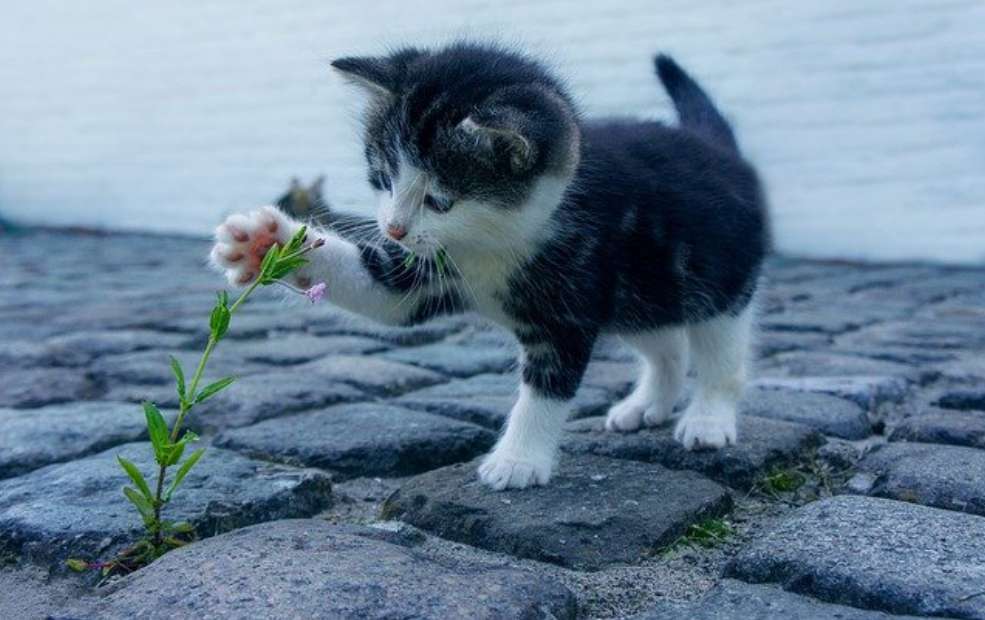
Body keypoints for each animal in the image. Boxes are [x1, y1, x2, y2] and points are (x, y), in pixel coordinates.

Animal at [211, 42, 772, 490]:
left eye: (439, 200)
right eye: (383, 178)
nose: (393, 229)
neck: (492, 241)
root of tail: (719, 149)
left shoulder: (568, 304)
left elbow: (546, 388)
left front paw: (518, 461)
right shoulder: (427, 270)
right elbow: (383, 292)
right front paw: (266, 242)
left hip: (718, 279)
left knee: (720, 353)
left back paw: (708, 419)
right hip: (641, 292)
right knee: (666, 345)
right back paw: (647, 404)